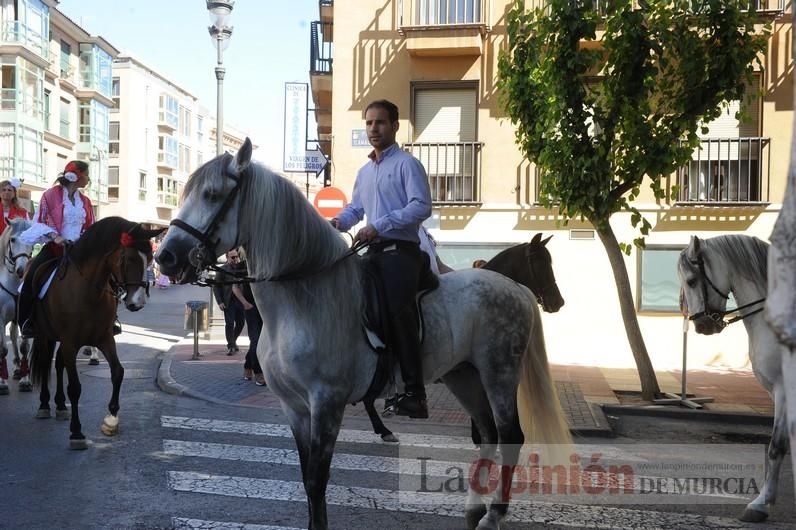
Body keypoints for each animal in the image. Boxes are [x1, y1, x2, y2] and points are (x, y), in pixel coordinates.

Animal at [30, 217, 163, 448]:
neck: (87, 291)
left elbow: (118, 372)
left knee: (58, 364)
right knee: (46, 363)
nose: (137, 302)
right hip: (44, 336)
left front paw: (111, 420)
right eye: (128, 258)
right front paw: (76, 432)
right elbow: (75, 387)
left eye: (150, 258)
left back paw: (60, 406)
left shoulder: (104, 338)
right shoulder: (70, 342)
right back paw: (45, 405)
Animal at [155, 138, 572, 524]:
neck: (303, 299)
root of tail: (514, 287)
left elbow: (317, 482)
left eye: (212, 194)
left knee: (510, 436)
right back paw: (474, 507)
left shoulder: (327, 403)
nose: (165, 256)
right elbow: (306, 480)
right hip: (464, 376)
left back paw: (493, 513)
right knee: (487, 433)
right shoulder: (294, 407)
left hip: (499, 373)